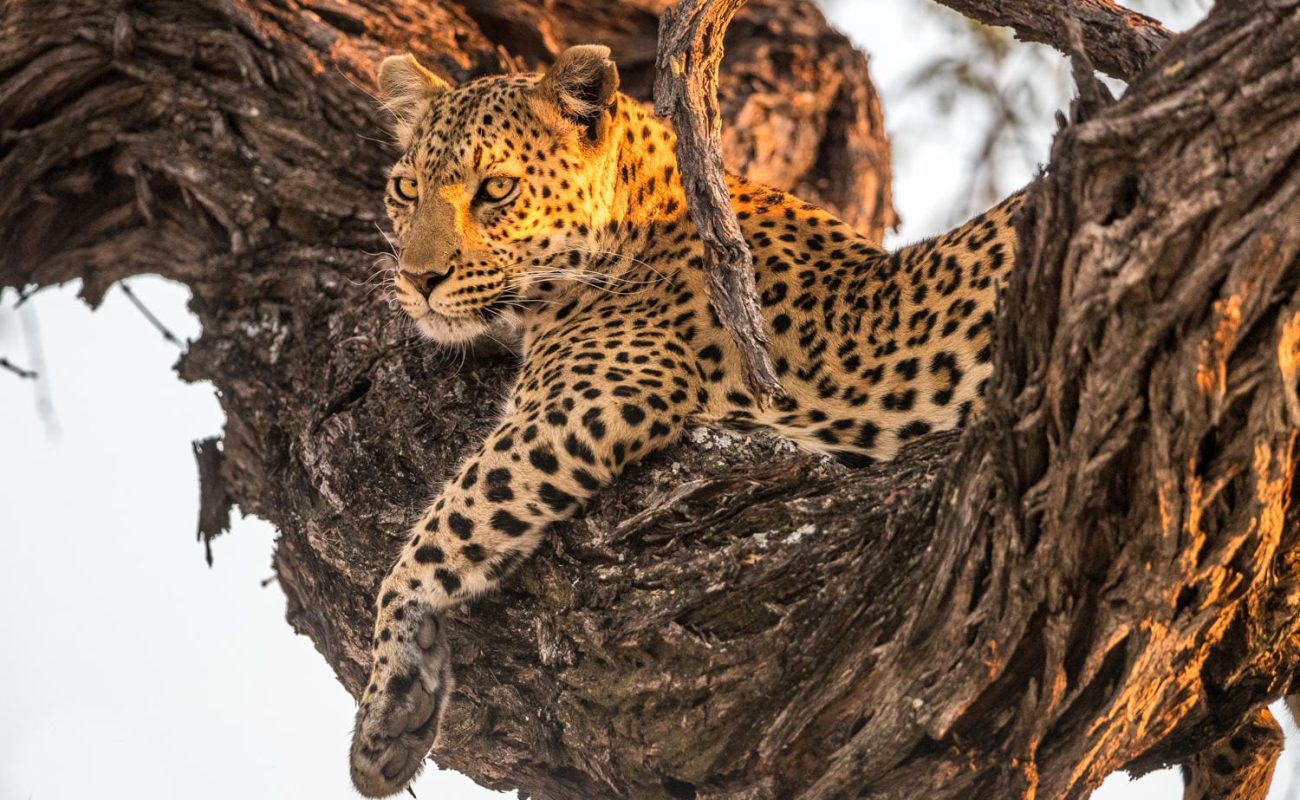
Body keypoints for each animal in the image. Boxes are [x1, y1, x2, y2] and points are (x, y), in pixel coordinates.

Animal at [349, 43, 1017, 797]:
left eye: (496, 189)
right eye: (406, 189)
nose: (417, 279)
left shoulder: (597, 395)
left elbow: (442, 528)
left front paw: (390, 702)